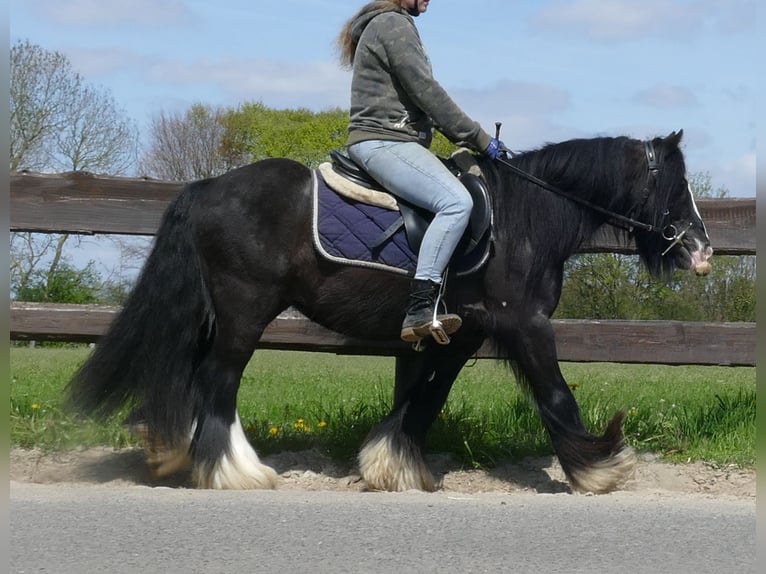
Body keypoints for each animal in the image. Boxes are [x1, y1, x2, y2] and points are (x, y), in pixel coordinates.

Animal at [69, 130, 716, 496]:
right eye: (675, 185)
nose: (702, 249)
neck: (522, 219)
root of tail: (207, 188)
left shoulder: (462, 333)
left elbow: (425, 398)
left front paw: (391, 466)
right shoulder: (525, 324)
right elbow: (556, 394)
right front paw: (599, 469)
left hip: (218, 315)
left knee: (189, 372)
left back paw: (170, 448)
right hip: (245, 313)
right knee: (217, 382)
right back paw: (234, 471)